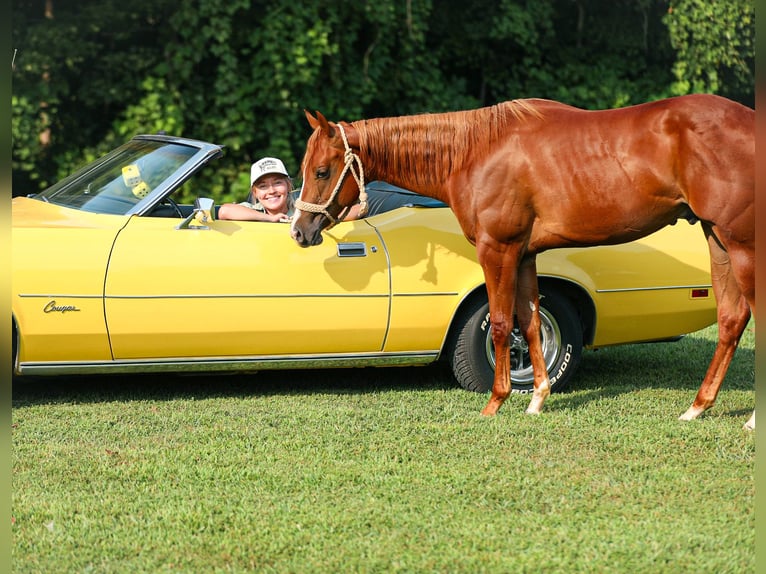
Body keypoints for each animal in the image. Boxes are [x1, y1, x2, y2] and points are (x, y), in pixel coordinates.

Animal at [290, 94, 755, 429]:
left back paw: (750, 420)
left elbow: (500, 322)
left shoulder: (497, 248)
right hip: (717, 239)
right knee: (732, 318)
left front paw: (495, 402)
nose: (300, 231)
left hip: (741, 244)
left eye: (322, 170)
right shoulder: (527, 253)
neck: (475, 152)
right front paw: (536, 399)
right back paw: (698, 406)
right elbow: (528, 321)